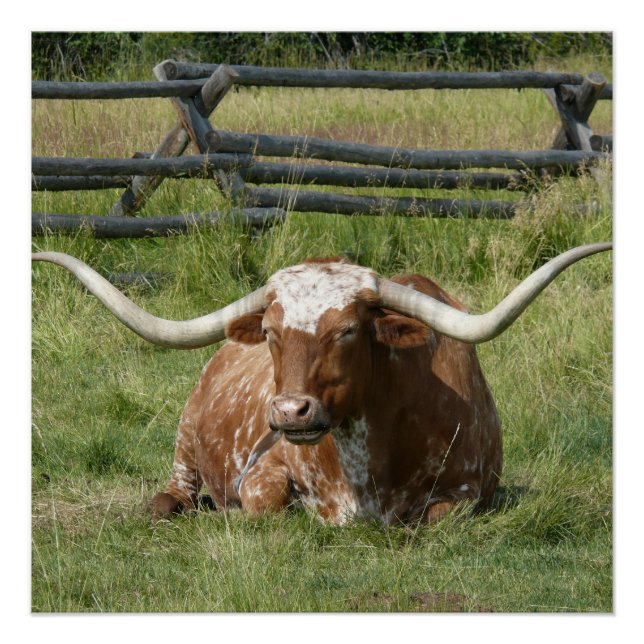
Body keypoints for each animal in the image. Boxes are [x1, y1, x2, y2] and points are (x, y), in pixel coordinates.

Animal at [32, 242, 611, 525]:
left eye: (348, 330)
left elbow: (440, 517)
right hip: (185, 437)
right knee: (176, 489)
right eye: (270, 331)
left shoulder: (472, 489)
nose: (290, 412)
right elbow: (263, 506)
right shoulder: (262, 470)